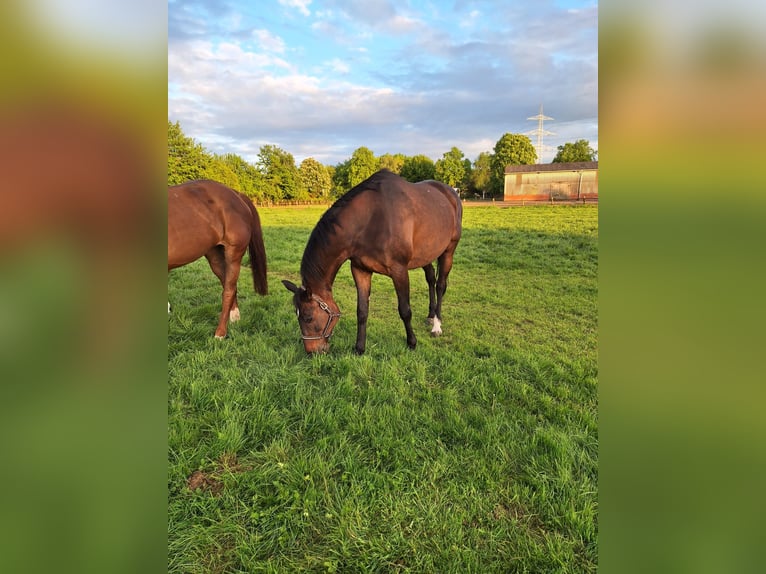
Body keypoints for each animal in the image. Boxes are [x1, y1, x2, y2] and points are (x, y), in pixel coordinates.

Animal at [168, 180, 268, 338]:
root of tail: (236, 194)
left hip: (234, 255)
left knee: (228, 290)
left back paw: (220, 332)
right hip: (214, 256)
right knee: (228, 284)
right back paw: (234, 317)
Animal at [283, 169, 462, 354]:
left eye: (308, 317)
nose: (312, 352)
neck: (370, 220)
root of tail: (451, 193)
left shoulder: (399, 271)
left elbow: (405, 310)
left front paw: (412, 342)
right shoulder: (360, 270)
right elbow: (362, 310)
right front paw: (359, 348)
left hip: (448, 250)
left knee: (440, 285)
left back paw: (437, 325)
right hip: (425, 255)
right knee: (431, 279)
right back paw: (430, 316)